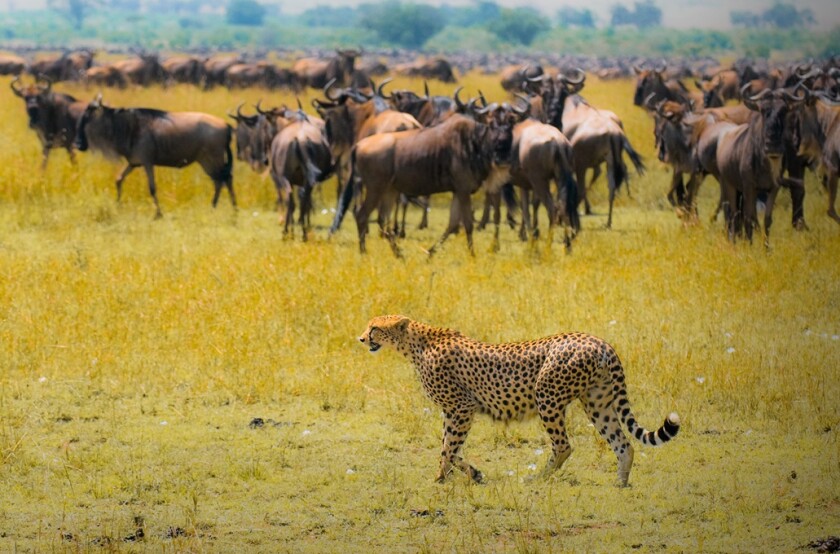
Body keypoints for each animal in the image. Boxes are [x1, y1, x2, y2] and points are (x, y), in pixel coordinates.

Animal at [358, 315, 680, 486]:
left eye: (375, 328)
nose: (361, 339)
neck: (417, 344)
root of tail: (599, 341)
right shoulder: (454, 411)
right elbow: (450, 447)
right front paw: (471, 473)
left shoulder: (461, 407)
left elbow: (448, 448)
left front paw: (439, 478)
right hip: (597, 402)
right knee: (623, 443)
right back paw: (620, 483)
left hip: (547, 396)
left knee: (563, 445)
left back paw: (538, 478)